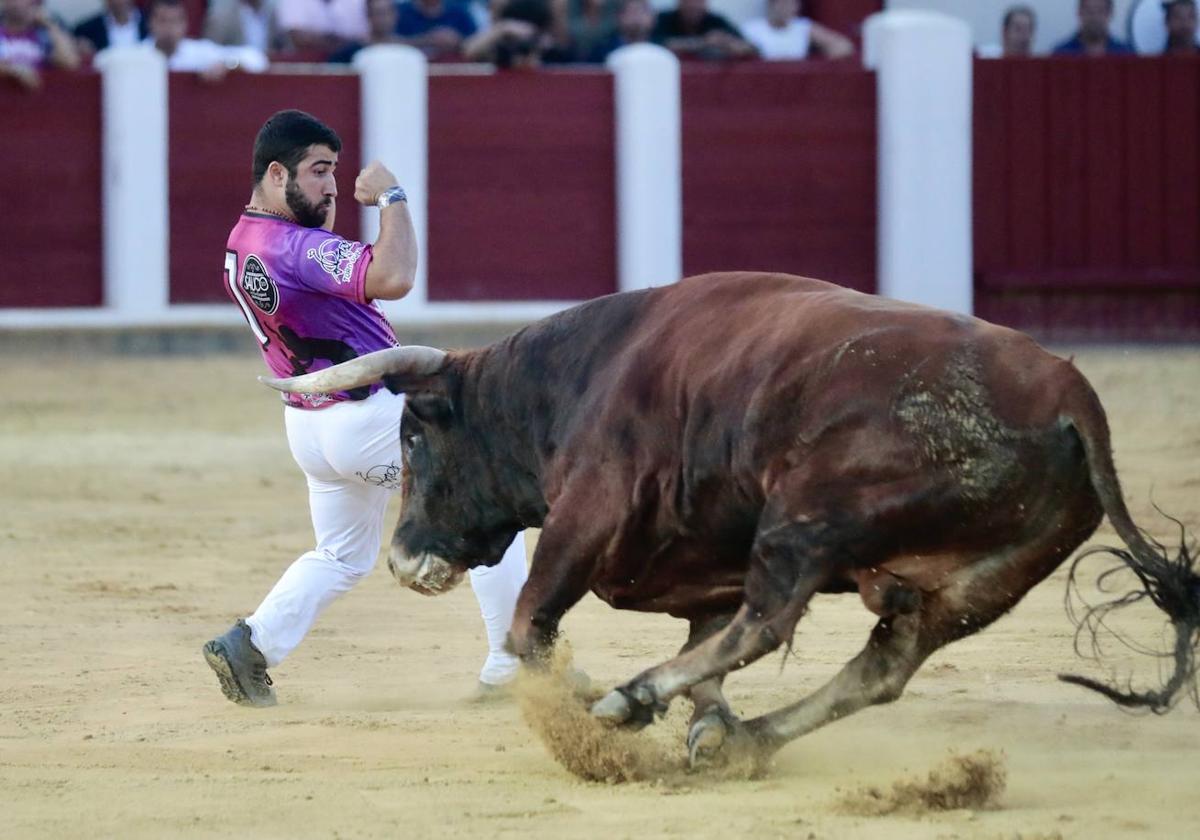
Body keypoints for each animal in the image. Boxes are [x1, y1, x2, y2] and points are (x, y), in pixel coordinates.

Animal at [258, 272, 1195, 763]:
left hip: (809, 515)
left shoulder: (590, 508)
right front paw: (705, 717)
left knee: (773, 617)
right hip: (978, 584)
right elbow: (702, 638)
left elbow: (531, 626)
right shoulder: (698, 557)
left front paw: (598, 697)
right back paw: (740, 741)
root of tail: (1071, 396)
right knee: (882, 666)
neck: (572, 380)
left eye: (414, 435)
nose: (402, 561)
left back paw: (634, 699)